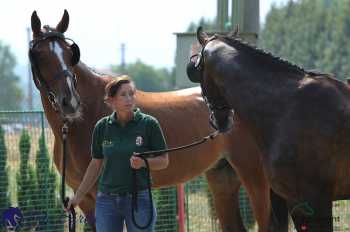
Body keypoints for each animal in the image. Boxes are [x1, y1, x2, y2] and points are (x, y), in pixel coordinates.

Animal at [28, 10, 272, 231]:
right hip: (222, 177)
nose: (70, 101)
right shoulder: (85, 200)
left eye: (71, 54)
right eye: (39, 55)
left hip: (253, 173)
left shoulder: (103, 196)